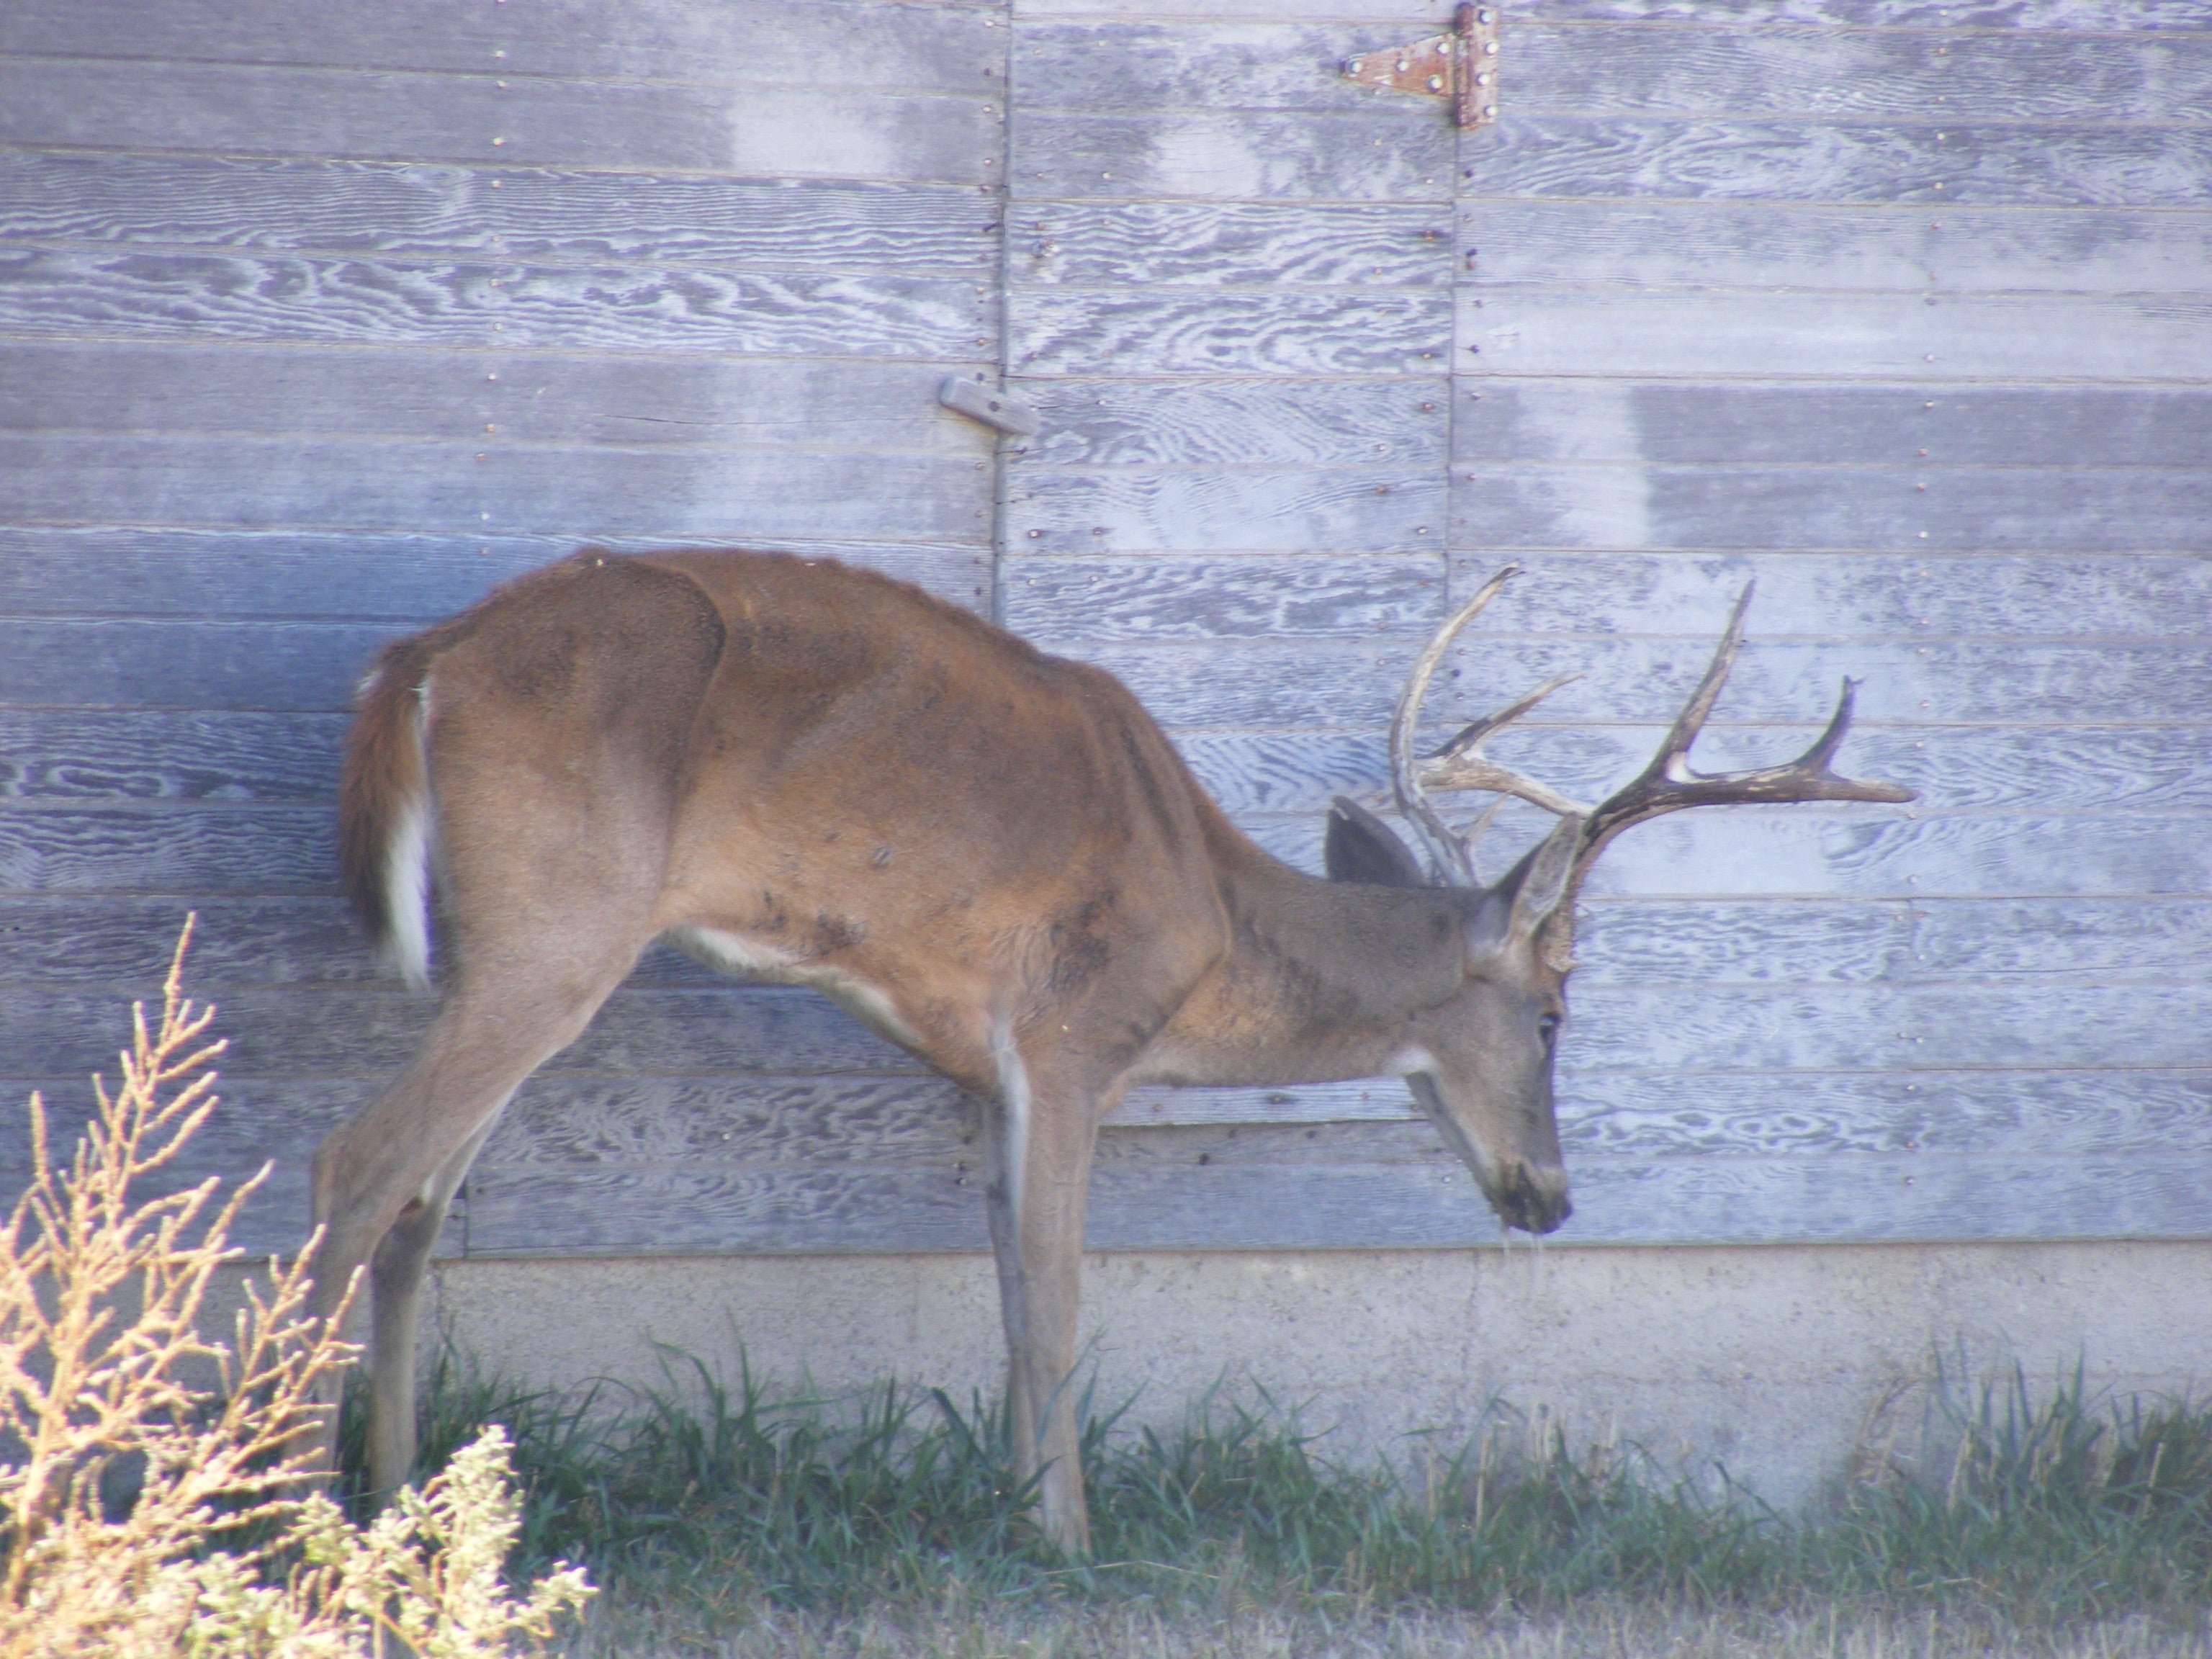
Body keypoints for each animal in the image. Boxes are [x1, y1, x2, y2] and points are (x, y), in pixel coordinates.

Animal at [316, 553, 1920, 1557]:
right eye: (1555, 1011)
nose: (1550, 1194)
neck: (1207, 916)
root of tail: (418, 663)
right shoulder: (1076, 1035)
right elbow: (1064, 1300)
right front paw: (1071, 1540)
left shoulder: (983, 1073)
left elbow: (1010, 1295)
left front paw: (1013, 1507)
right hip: (560, 919)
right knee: (356, 1161)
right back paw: (292, 1507)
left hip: (525, 945)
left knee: (420, 1203)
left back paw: (403, 1501)